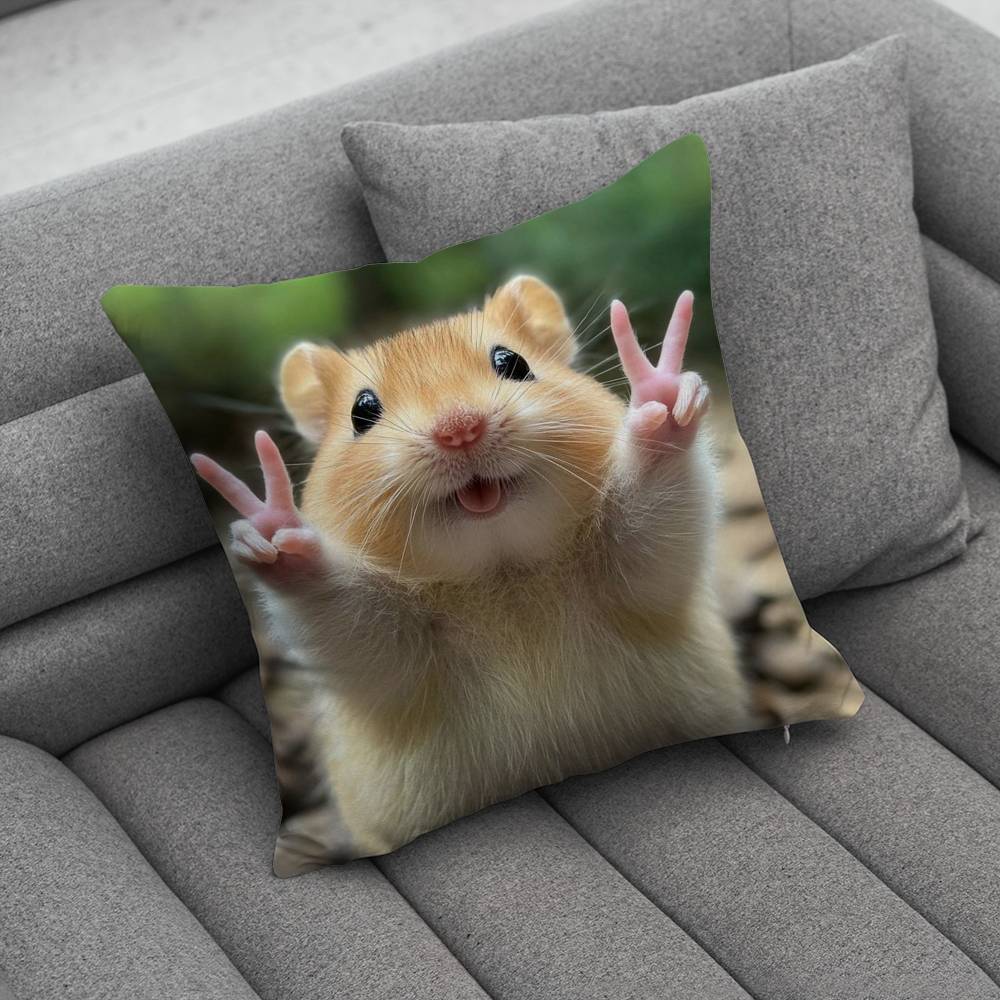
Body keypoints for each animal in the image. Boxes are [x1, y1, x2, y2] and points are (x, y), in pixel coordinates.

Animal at [193, 276, 753, 859]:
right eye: (361, 413)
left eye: (513, 363)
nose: (460, 430)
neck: (502, 573)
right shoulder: (386, 656)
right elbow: (334, 607)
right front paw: (274, 528)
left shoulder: (634, 574)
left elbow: (649, 523)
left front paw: (661, 401)